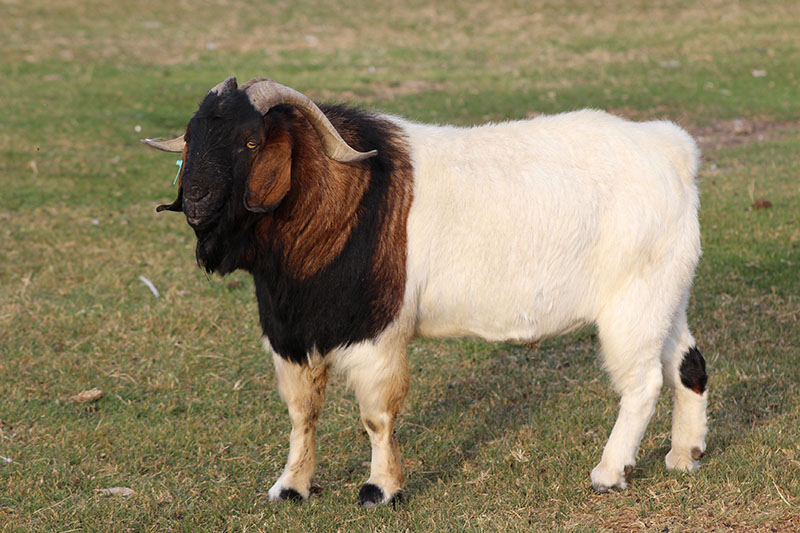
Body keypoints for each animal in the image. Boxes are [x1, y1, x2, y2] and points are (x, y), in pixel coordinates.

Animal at [142, 77, 708, 504]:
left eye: (251, 141)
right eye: (191, 137)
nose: (195, 199)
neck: (345, 200)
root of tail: (671, 149)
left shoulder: (377, 334)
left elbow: (376, 415)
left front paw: (381, 489)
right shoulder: (292, 334)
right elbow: (303, 413)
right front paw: (291, 487)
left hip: (631, 304)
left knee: (641, 385)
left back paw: (609, 473)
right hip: (667, 294)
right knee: (688, 364)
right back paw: (684, 456)